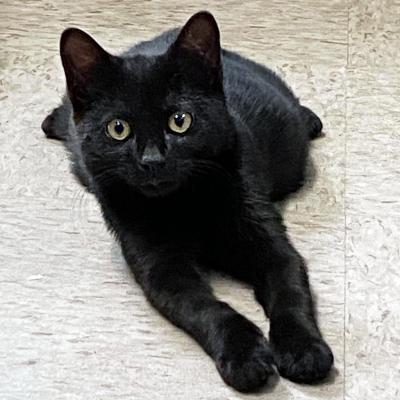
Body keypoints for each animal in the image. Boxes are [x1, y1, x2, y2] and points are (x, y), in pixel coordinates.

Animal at [42, 10, 332, 392]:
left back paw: (311, 119)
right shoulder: (162, 269)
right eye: (118, 129)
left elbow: (290, 292)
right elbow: (207, 309)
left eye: (180, 121)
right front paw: (245, 356)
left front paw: (303, 349)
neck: (184, 205)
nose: (152, 160)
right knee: (67, 114)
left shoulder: (271, 244)